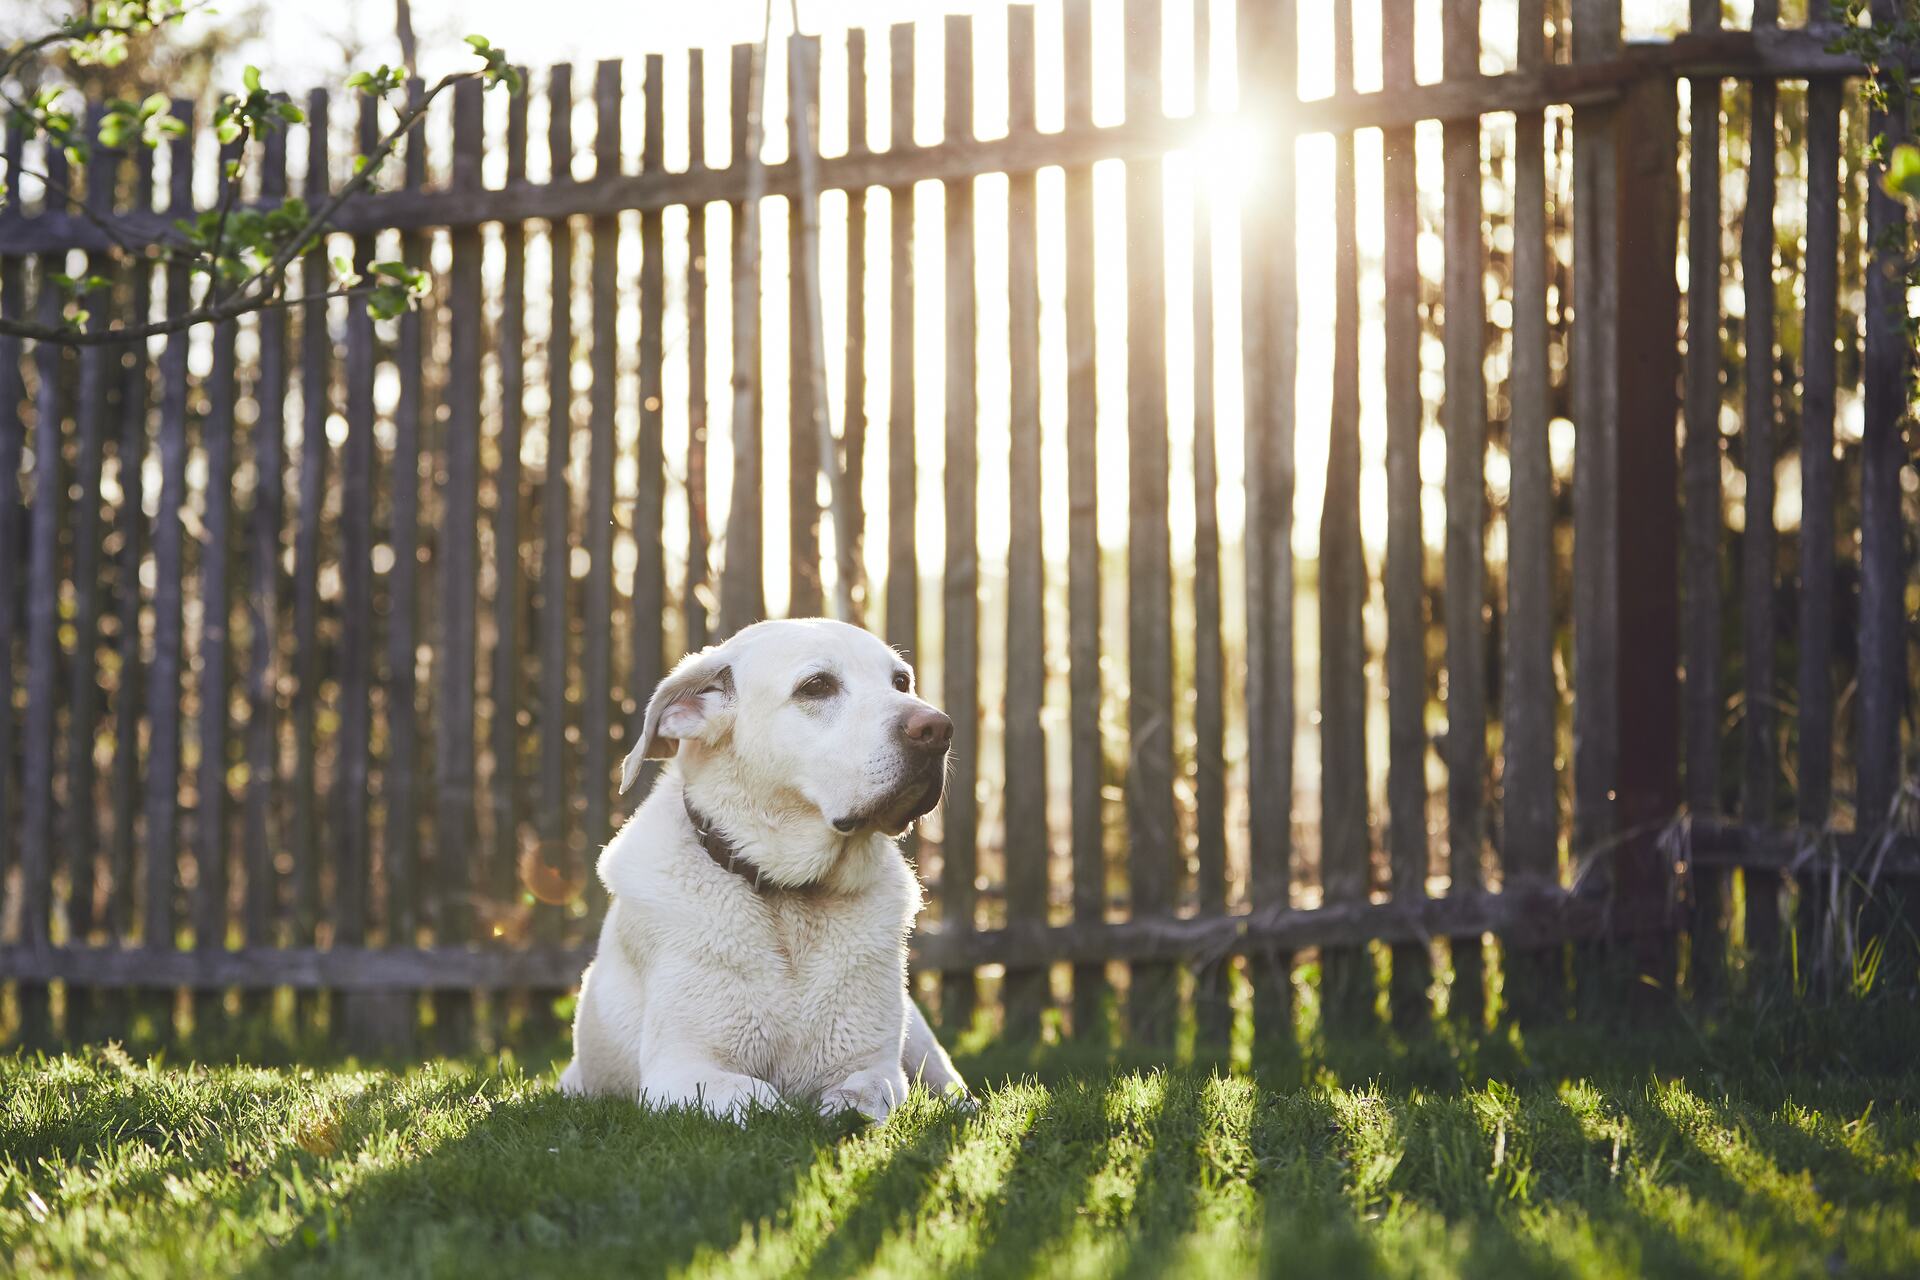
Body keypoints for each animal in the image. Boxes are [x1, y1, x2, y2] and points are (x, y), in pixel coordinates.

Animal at [560, 614, 967, 1113]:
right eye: (816, 686)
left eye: (901, 682)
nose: (938, 729)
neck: (791, 899)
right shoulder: (680, 1073)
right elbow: (761, 1097)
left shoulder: (873, 1067)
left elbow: (863, 1095)